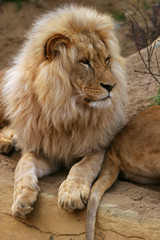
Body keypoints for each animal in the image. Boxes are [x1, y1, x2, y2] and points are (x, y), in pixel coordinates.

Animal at [0, 3, 127, 225]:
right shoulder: (43, 148)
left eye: (107, 59)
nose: (112, 86)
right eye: (85, 61)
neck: (67, 111)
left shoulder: (101, 145)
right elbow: (23, 164)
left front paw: (72, 193)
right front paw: (21, 199)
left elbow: (83, 165)